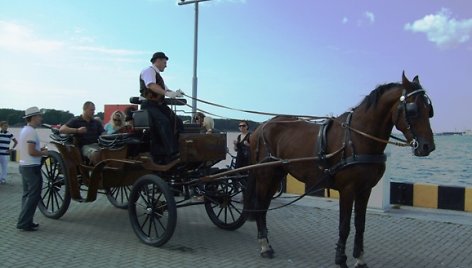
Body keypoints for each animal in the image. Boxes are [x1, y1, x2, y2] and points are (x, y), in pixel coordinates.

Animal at [243, 72, 436, 266]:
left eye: (429, 110)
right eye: (413, 110)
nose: (428, 146)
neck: (357, 138)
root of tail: (259, 128)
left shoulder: (365, 190)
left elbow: (360, 225)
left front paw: (360, 258)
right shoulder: (348, 189)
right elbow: (344, 226)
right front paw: (341, 258)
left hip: (276, 175)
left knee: (265, 206)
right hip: (265, 175)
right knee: (260, 206)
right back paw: (264, 246)